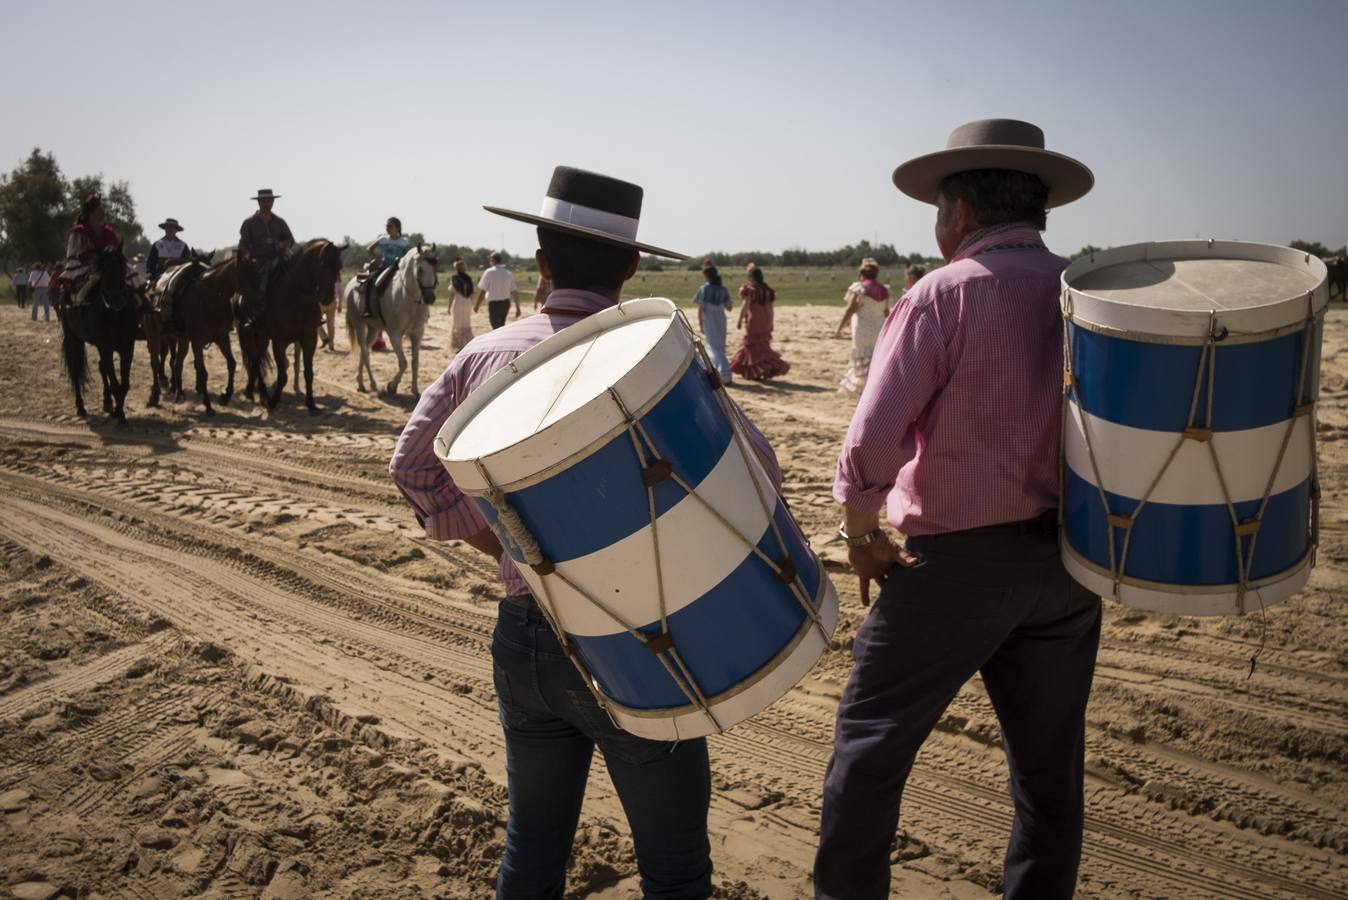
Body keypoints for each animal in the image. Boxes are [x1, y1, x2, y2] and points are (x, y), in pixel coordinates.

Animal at [58, 241, 139, 420]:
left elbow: (124, 384)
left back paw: (107, 402)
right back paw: (81, 407)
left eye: (123, 267)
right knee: (75, 368)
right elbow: (115, 383)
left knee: (102, 368)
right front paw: (119, 414)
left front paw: (118, 410)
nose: (117, 300)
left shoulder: (127, 348)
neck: (114, 315)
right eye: (104, 270)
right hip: (73, 337)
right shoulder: (106, 347)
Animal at [237, 235, 345, 412]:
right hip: (249, 335)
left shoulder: (309, 340)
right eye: (323, 263)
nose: (327, 298)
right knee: (254, 360)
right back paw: (256, 392)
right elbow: (282, 375)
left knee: (257, 360)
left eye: (339, 266)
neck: (296, 297)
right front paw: (274, 401)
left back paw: (256, 392)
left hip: (263, 337)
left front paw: (311, 404)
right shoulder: (279, 342)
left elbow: (308, 373)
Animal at [345, 243, 439, 396]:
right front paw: (391, 386)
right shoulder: (394, 334)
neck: (408, 297)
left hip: (373, 329)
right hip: (359, 324)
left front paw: (415, 390)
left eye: (435, 267)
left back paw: (360, 383)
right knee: (364, 352)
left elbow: (415, 362)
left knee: (365, 351)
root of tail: (351, 283)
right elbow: (403, 362)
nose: (430, 298)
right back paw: (372, 384)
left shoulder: (417, 334)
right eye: (420, 270)